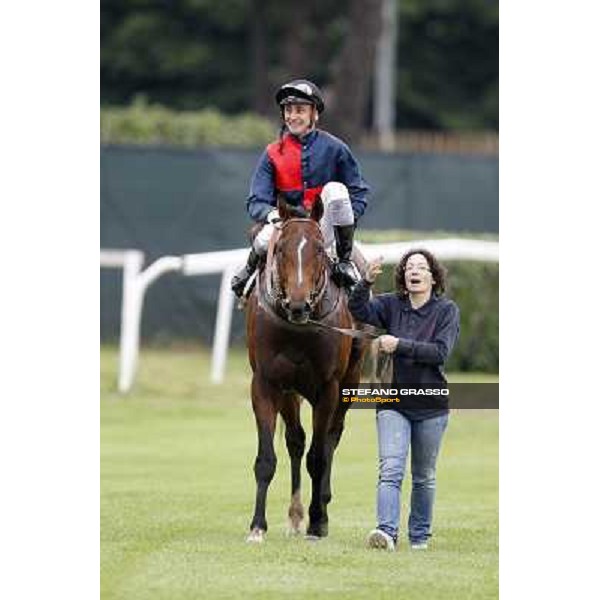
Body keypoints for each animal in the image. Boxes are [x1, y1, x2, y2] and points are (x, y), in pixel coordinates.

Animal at [245, 198, 368, 544]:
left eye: (318, 249)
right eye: (281, 249)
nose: (298, 305)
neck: (298, 328)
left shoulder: (329, 387)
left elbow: (319, 456)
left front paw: (317, 523)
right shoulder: (266, 383)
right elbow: (267, 458)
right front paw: (257, 526)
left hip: (350, 381)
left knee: (331, 439)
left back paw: (319, 511)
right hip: (290, 392)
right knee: (296, 440)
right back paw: (296, 515)